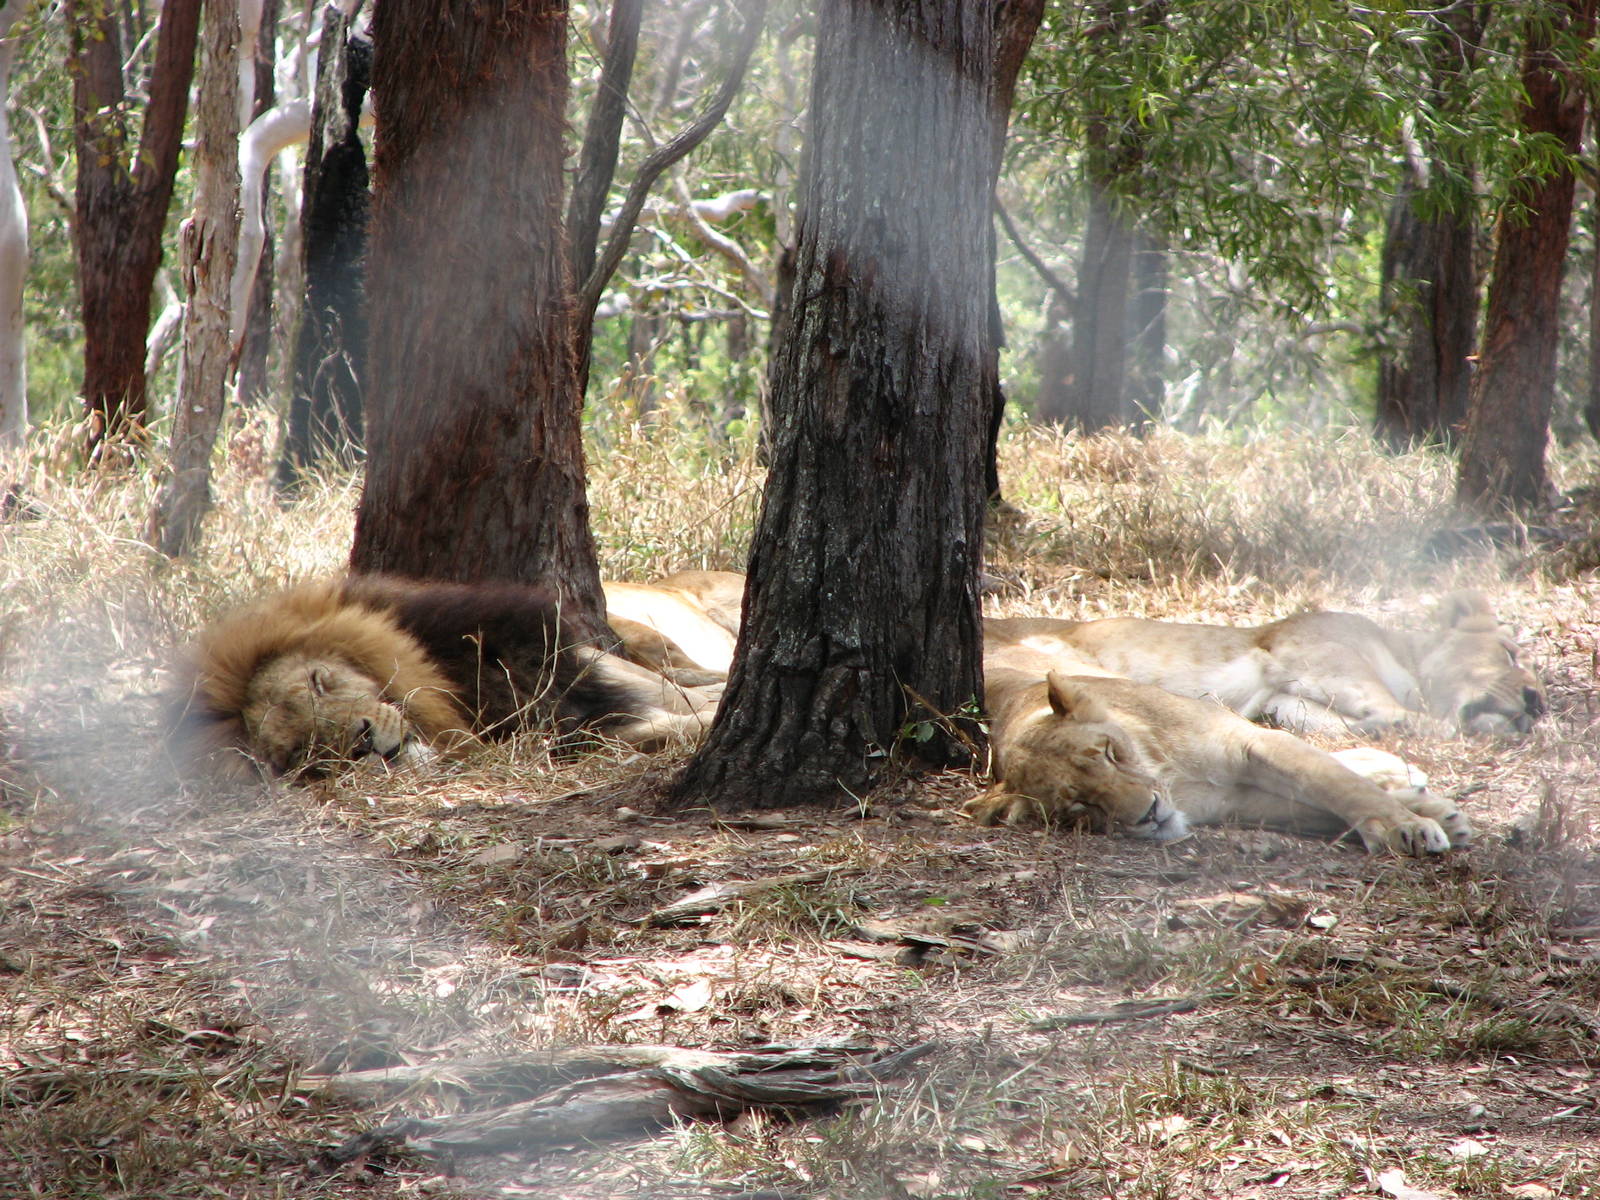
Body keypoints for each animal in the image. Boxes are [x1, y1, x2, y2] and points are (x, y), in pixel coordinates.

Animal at [171, 575, 720, 777]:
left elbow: (682, 702)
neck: (454, 693)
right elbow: (667, 726)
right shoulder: (568, 734)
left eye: (317, 680)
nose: (363, 741)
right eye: (298, 754)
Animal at [967, 666, 1471, 856]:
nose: (1149, 814)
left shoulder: (1247, 743)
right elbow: (1319, 806)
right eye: (1079, 806)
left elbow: (1335, 784)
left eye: (1109, 752)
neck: (1171, 777)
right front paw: (1420, 814)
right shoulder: (1235, 802)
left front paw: (1407, 827)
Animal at [984, 591, 1545, 737]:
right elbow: (1385, 701)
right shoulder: (1315, 648)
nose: (1538, 703)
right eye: (1510, 652)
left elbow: (1339, 720)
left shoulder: (1283, 697)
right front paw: (1425, 724)